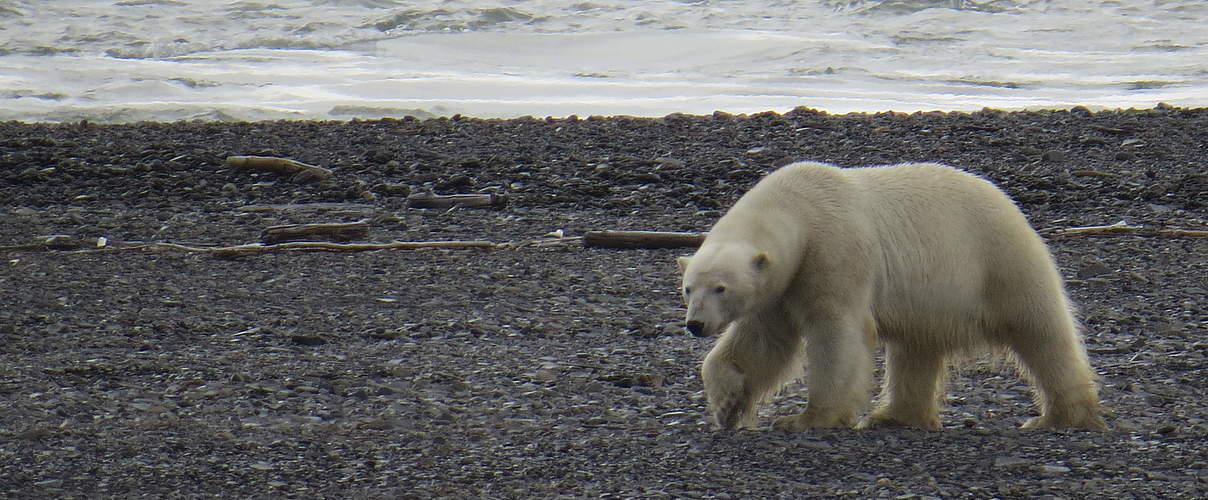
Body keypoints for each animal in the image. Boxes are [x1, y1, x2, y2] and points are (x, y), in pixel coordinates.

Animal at [681, 161, 1106, 432]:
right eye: (688, 287)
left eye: (721, 287)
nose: (695, 324)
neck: (798, 207)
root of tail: (1008, 201)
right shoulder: (781, 287)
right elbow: (762, 342)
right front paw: (726, 405)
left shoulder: (834, 252)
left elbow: (837, 334)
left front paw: (807, 419)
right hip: (931, 297)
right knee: (915, 349)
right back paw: (896, 416)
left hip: (998, 260)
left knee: (1041, 332)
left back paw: (1061, 416)